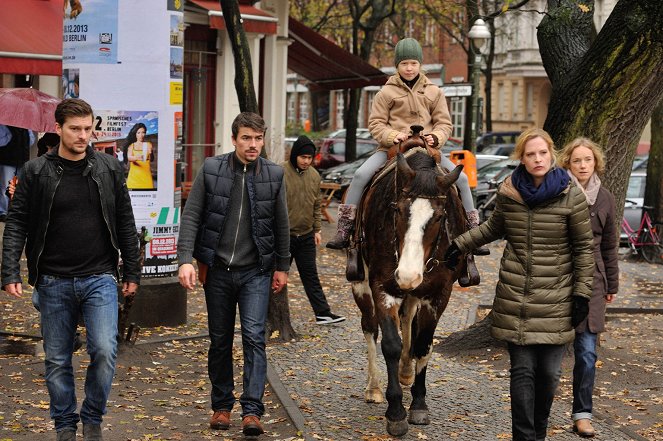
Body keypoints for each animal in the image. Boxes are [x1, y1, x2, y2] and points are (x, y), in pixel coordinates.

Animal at [352, 150, 466, 434]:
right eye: (398, 210)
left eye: (439, 217)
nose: (407, 275)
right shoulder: (382, 288)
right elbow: (391, 344)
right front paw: (395, 412)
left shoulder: (438, 293)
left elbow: (423, 344)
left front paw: (419, 405)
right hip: (361, 285)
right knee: (370, 327)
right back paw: (374, 387)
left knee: (407, 320)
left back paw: (405, 371)